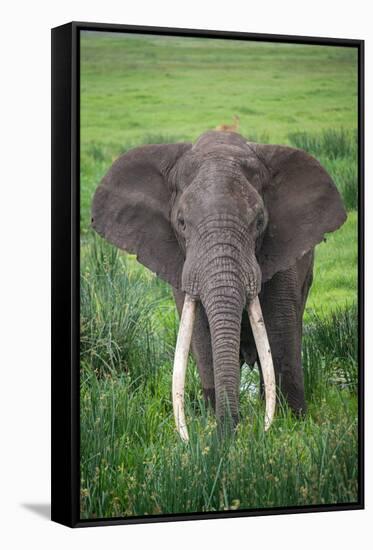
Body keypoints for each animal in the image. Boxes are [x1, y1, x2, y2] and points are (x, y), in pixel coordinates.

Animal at [91, 129, 346, 440]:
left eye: (259, 222)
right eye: (181, 222)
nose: (232, 431)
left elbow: (279, 330)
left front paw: (291, 425)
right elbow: (202, 332)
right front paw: (217, 431)